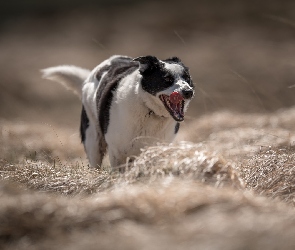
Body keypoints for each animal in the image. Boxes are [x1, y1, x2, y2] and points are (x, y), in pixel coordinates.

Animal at [41, 55, 194, 170]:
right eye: (167, 79)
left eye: (187, 78)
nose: (188, 91)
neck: (149, 110)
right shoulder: (117, 152)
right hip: (93, 140)